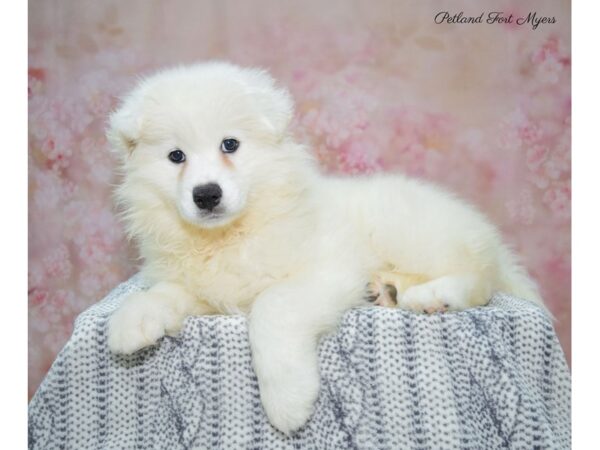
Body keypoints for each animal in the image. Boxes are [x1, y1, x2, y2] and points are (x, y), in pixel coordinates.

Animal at [105, 61, 540, 434]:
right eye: (175, 156)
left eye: (230, 145)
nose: (207, 194)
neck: (229, 234)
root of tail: (484, 233)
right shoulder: (210, 290)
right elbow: (167, 291)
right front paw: (132, 321)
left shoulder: (324, 271)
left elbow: (272, 308)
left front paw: (287, 402)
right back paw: (387, 289)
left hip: (416, 231)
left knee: (479, 278)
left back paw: (433, 296)